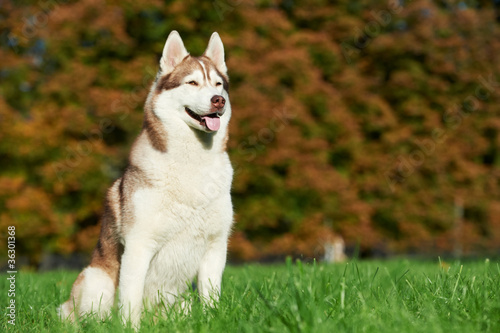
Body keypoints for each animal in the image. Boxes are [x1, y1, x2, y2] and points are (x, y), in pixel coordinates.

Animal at [57, 29, 233, 326]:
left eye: (218, 84)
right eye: (192, 82)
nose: (217, 100)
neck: (192, 163)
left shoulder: (216, 247)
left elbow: (211, 296)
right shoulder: (139, 245)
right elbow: (130, 302)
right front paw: (130, 327)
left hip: (181, 301)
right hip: (95, 281)